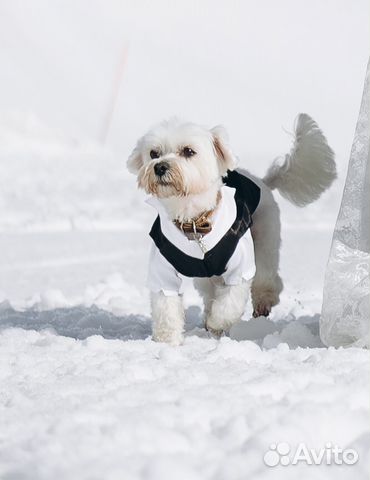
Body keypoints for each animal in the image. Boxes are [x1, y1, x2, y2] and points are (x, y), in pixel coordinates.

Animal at [127, 114, 336, 344]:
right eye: (154, 153)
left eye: (189, 151)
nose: (160, 167)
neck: (194, 222)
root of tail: (263, 181)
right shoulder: (162, 269)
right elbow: (166, 305)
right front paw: (167, 340)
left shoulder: (240, 266)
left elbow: (229, 303)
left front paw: (217, 323)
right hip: (205, 277)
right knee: (210, 292)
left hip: (265, 241)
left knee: (266, 278)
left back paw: (261, 304)